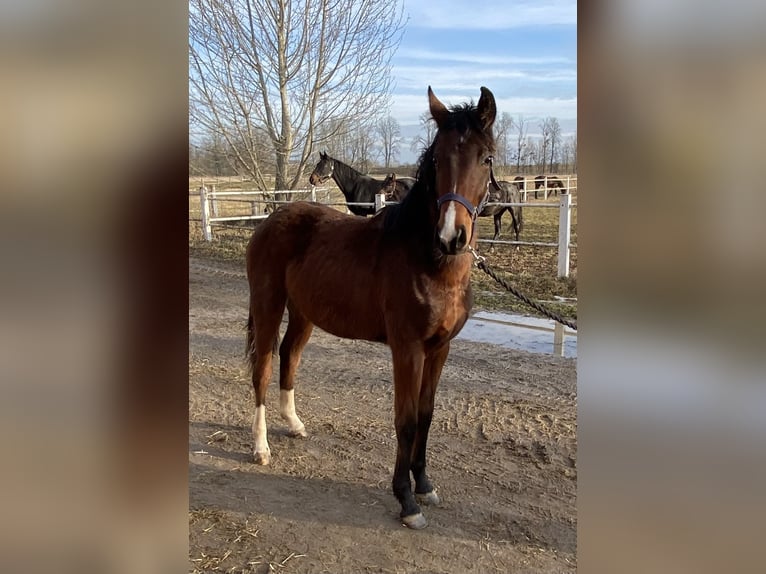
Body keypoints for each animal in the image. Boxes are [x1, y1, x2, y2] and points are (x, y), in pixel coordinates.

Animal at [246, 86, 499, 530]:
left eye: (485, 157)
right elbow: (406, 420)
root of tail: (270, 220)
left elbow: (427, 415)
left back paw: (294, 425)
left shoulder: (440, 349)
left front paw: (425, 485)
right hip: (268, 307)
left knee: (289, 358)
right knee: (262, 368)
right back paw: (261, 448)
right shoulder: (408, 349)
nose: (451, 236)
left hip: (303, 314)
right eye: (437, 158)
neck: (426, 260)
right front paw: (407, 501)